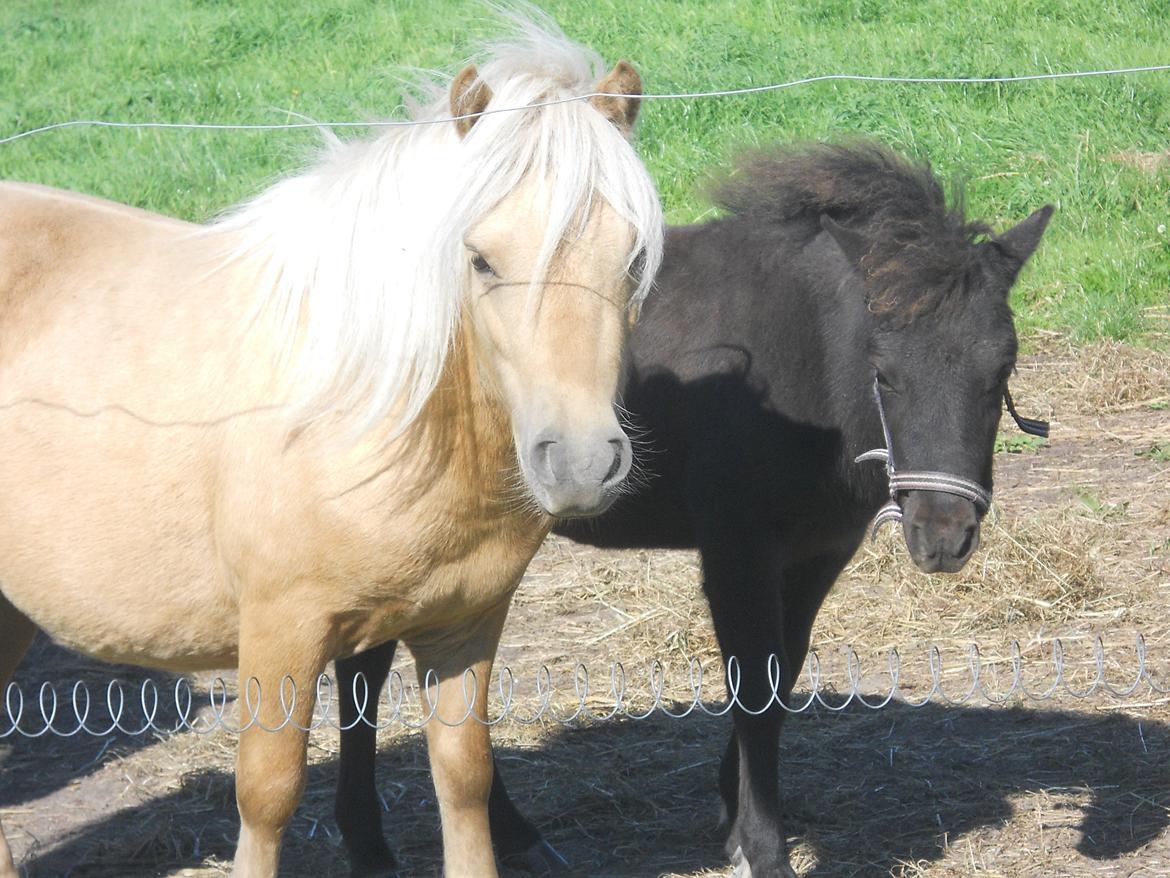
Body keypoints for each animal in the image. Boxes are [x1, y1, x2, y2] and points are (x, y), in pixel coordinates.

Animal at [0, 20, 664, 878]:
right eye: (481, 260)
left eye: (632, 258)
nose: (581, 463)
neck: (369, 407)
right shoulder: (281, 633)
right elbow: (268, 795)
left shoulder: (465, 624)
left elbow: (465, 777)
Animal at [327, 144, 1053, 878]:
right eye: (884, 372)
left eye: (1001, 371)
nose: (944, 534)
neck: (807, 354)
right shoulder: (737, 550)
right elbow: (754, 688)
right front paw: (763, 849)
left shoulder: (818, 552)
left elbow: (784, 673)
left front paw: (733, 821)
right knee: (366, 669)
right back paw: (370, 847)